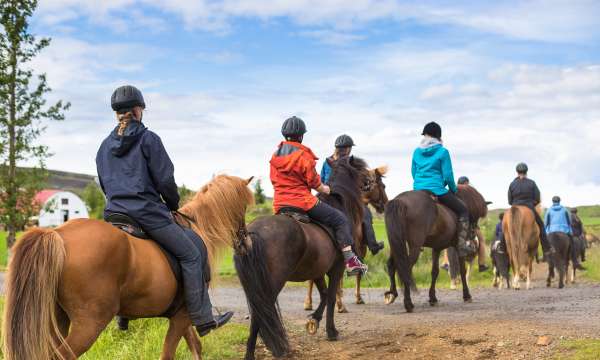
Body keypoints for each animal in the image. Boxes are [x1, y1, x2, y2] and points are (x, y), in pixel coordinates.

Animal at [1, 175, 253, 360]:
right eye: (243, 208)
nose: (247, 243)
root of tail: (58, 234)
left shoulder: (182, 314)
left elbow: (195, 346)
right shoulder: (183, 314)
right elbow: (170, 353)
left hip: (56, 318)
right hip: (89, 324)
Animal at [234, 156, 370, 358]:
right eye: (361, 168)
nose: (371, 180)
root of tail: (251, 234)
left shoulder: (317, 271)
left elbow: (324, 295)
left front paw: (314, 320)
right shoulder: (335, 269)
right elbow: (331, 297)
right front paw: (331, 331)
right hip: (271, 284)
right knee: (261, 313)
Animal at [304, 165, 390, 310]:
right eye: (383, 186)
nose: (385, 204)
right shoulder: (360, 249)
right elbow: (357, 273)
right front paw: (357, 298)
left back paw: (308, 303)